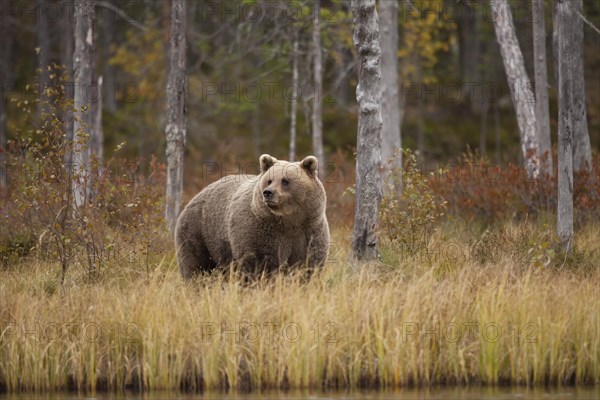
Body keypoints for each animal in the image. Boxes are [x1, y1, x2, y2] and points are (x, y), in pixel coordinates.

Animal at [176, 153, 330, 278]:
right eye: (269, 180)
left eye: (285, 180)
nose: (268, 192)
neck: (288, 220)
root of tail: (195, 197)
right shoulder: (259, 231)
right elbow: (258, 263)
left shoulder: (309, 230)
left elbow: (308, 264)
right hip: (198, 233)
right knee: (195, 266)